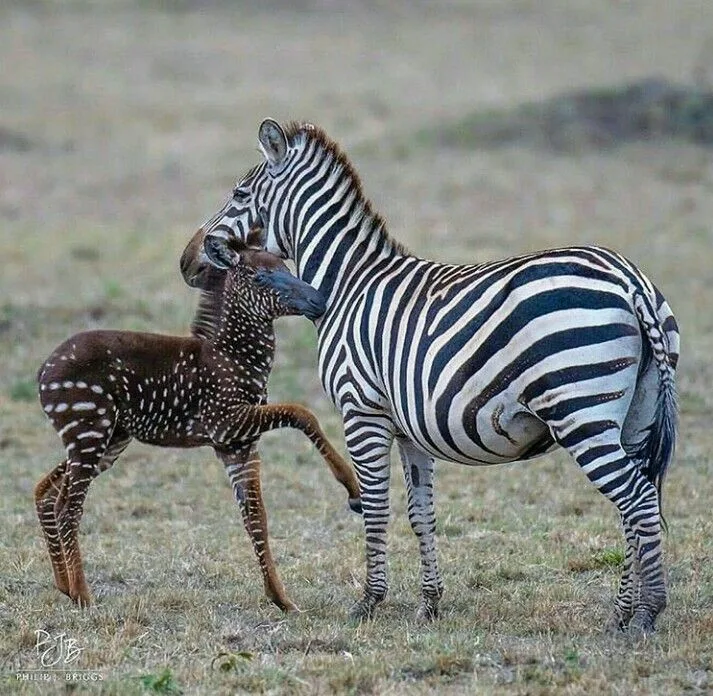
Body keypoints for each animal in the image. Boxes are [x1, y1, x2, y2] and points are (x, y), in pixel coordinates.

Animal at [34, 228, 362, 608]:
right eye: (259, 276)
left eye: (286, 267)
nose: (319, 301)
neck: (238, 357)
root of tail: (43, 372)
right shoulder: (227, 421)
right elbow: (302, 412)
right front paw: (352, 486)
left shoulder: (237, 445)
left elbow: (257, 517)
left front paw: (281, 600)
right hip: (88, 431)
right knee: (67, 507)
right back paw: (83, 597)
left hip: (108, 440)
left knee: (45, 491)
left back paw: (64, 585)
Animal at [179, 121, 680, 636]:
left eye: (239, 193)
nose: (187, 262)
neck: (346, 285)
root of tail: (628, 280)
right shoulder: (407, 429)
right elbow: (422, 514)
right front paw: (429, 604)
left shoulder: (361, 411)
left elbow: (376, 507)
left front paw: (369, 601)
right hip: (636, 415)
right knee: (635, 503)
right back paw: (622, 613)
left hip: (582, 413)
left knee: (638, 500)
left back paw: (646, 613)